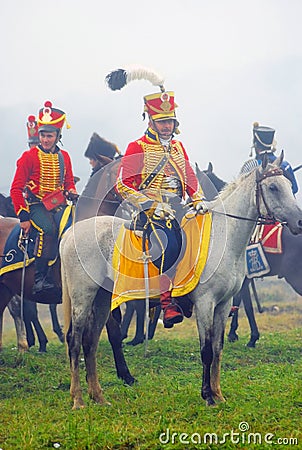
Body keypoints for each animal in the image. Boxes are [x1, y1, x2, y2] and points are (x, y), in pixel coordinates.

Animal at [60, 154, 302, 408]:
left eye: (288, 184)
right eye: (273, 187)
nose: (299, 221)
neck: (223, 237)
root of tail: (70, 234)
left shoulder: (224, 304)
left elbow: (218, 348)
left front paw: (218, 394)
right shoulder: (205, 303)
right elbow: (206, 349)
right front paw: (208, 396)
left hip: (102, 299)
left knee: (91, 341)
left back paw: (98, 396)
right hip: (83, 297)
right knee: (74, 340)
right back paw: (78, 399)